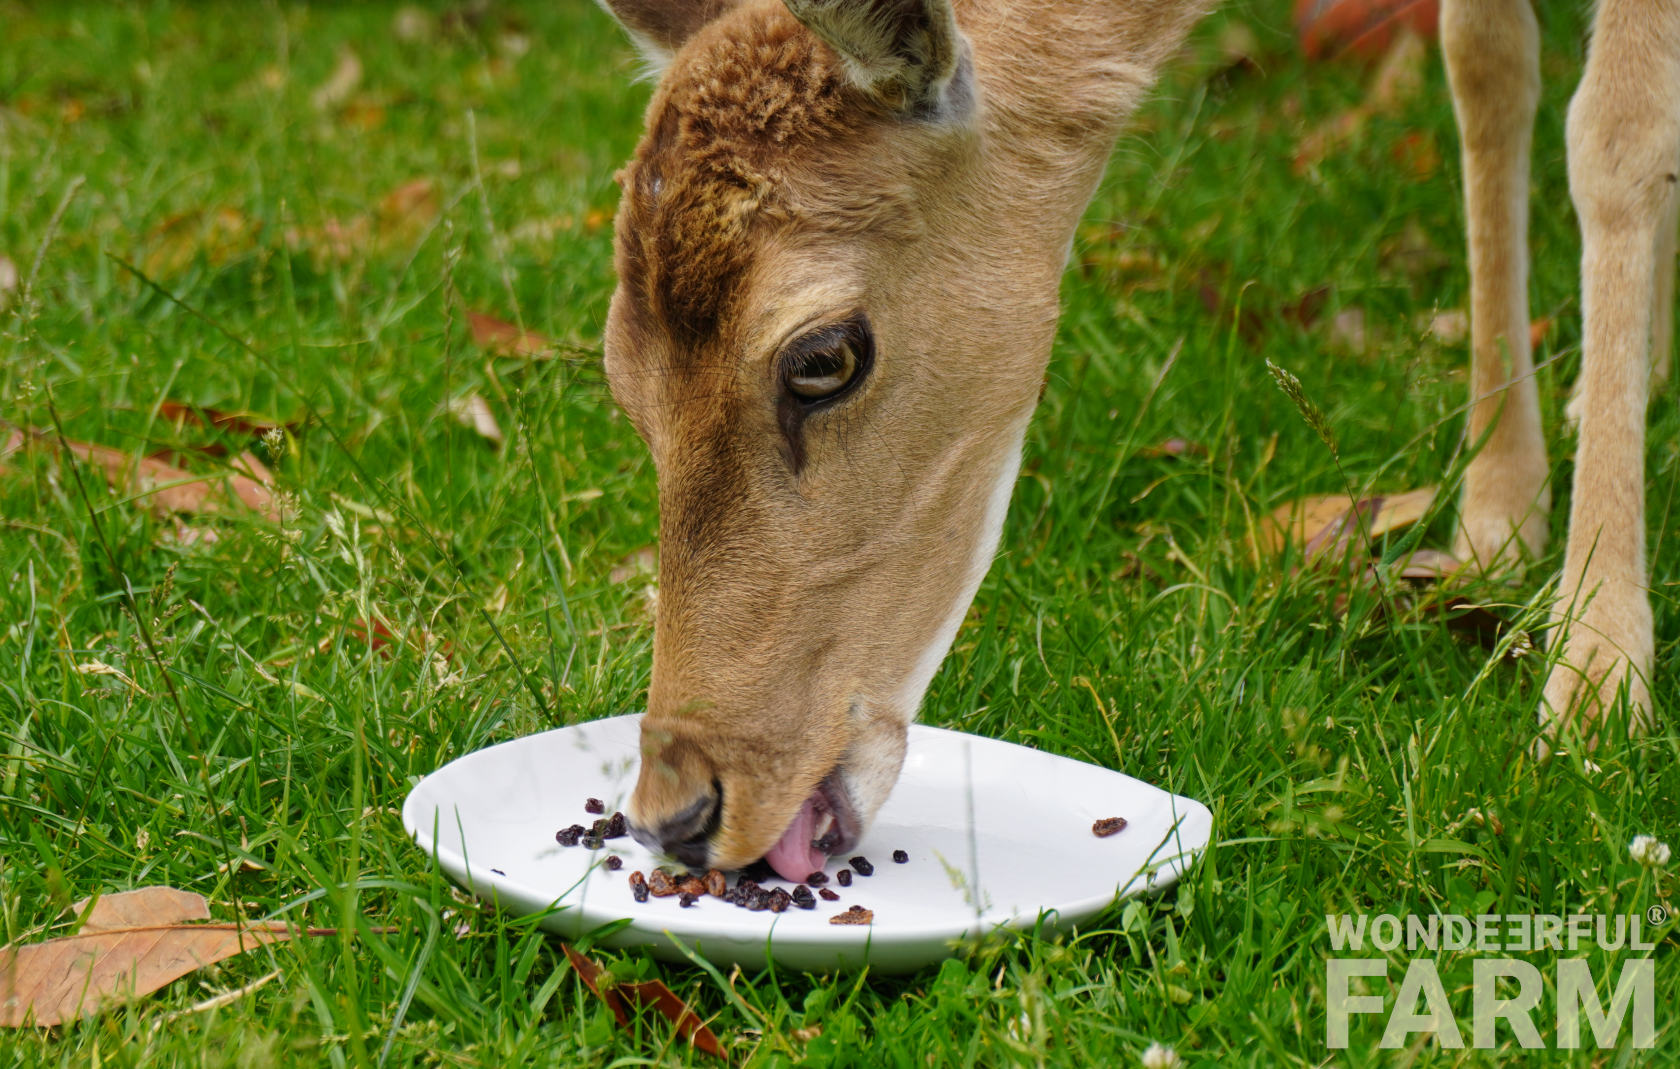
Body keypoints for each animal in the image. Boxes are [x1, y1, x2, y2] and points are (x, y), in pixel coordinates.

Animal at [598, 0, 1673, 880]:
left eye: (823, 357)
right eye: (620, 380)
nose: (678, 811)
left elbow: (1617, 130)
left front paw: (1595, 683)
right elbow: (1483, 61)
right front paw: (1499, 513)